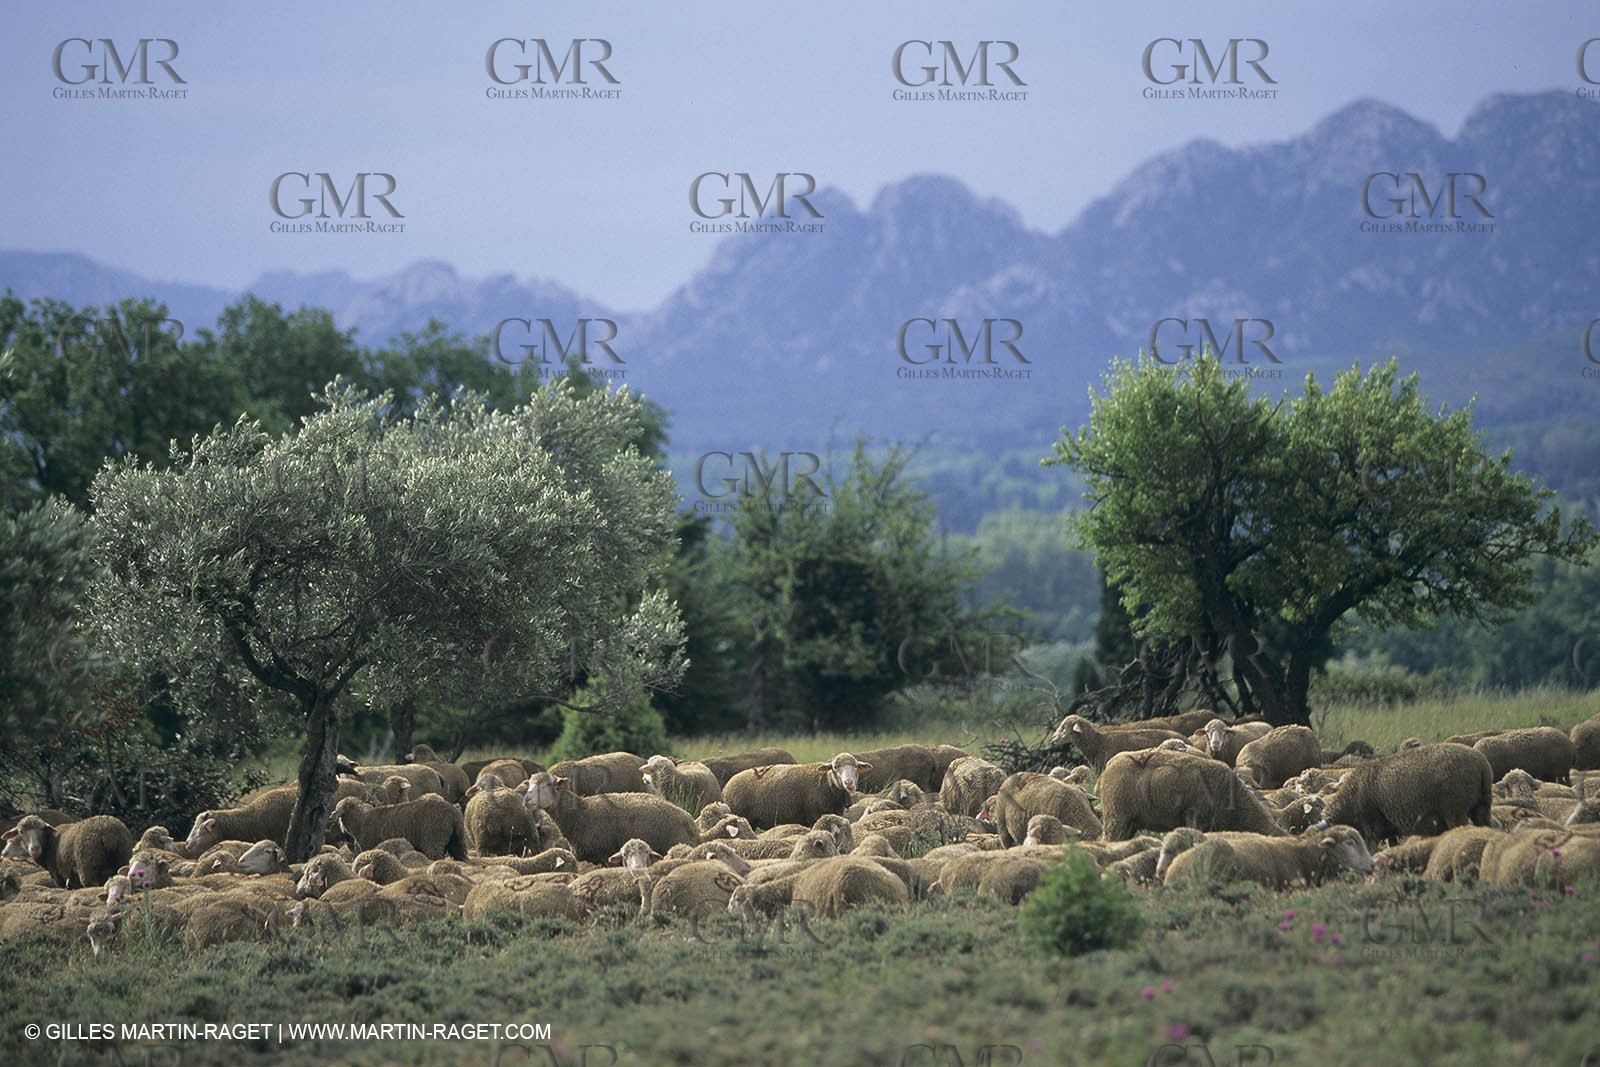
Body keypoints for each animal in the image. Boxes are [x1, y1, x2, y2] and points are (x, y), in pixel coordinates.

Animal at [3, 814, 133, 890]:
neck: (49, 843)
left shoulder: (58, 877)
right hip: (123, 855)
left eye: (42, 829)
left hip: (88, 868)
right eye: (21, 831)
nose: (35, 849)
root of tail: (108, 833)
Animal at [331, 794, 469, 861]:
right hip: (458, 839)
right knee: (461, 856)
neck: (360, 822)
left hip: (434, 839)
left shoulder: (369, 845)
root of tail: (454, 814)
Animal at [522, 772, 699, 865]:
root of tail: (690, 821)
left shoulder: (604, 856)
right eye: (529, 783)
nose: (526, 799)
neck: (580, 815)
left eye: (548, 784)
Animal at [721, 753, 870, 830]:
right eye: (834, 767)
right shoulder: (813, 816)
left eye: (856, 766)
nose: (849, 783)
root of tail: (727, 786)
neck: (827, 784)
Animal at [1323, 743, 1494, 846]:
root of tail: (1481, 764)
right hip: (1482, 806)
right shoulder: (1388, 827)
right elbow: (1391, 843)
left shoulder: (1370, 825)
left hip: (1455, 809)